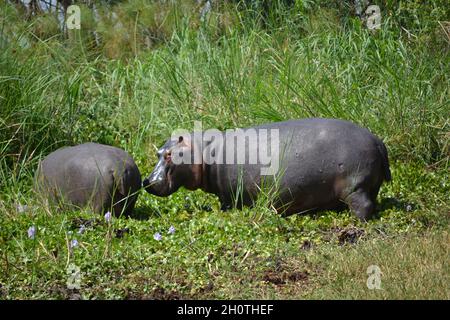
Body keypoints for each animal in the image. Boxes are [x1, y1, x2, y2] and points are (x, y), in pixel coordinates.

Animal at [144, 119, 390, 221]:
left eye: (169, 154)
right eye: (158, 152)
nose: (147, 181)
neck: (203, 151)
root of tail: (377, 140)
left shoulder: (228, 195)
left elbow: (225, 205)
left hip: (354, 186)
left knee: (363, 205)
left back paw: (356, 222)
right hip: (369, 185)